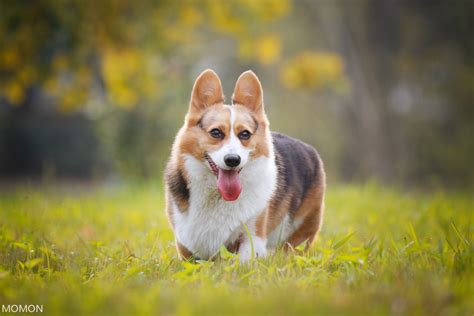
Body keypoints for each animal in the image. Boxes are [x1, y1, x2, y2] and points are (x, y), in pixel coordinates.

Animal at [165, 69, 324, 262]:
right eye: (216, 132)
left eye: (245, 134)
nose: (233, 160)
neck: (217, 196)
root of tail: (309, 149)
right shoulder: (186, 244)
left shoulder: (253, 238)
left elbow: (242, 261)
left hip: (300, 234)